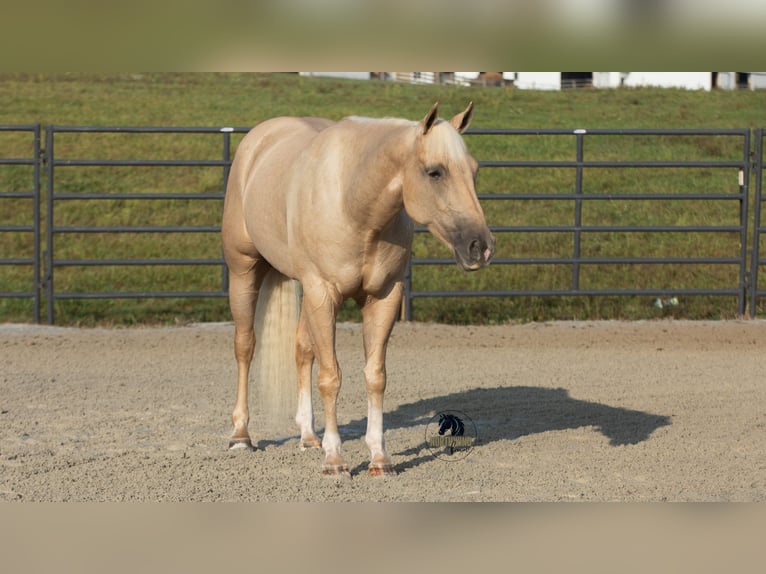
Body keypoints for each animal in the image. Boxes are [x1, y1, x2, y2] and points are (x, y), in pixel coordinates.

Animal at [221, 102, 495, 476]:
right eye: (434, 172)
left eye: (474, 171)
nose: (479, 246)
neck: (353, 204)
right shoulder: (324, 294)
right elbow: (330, 377)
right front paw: (335, 459)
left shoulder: (384, 297)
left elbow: (375, 376)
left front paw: (379, 458)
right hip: (244, 271)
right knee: (245, 347)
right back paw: (241, 435)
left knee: (302, 349)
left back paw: (308, 436)